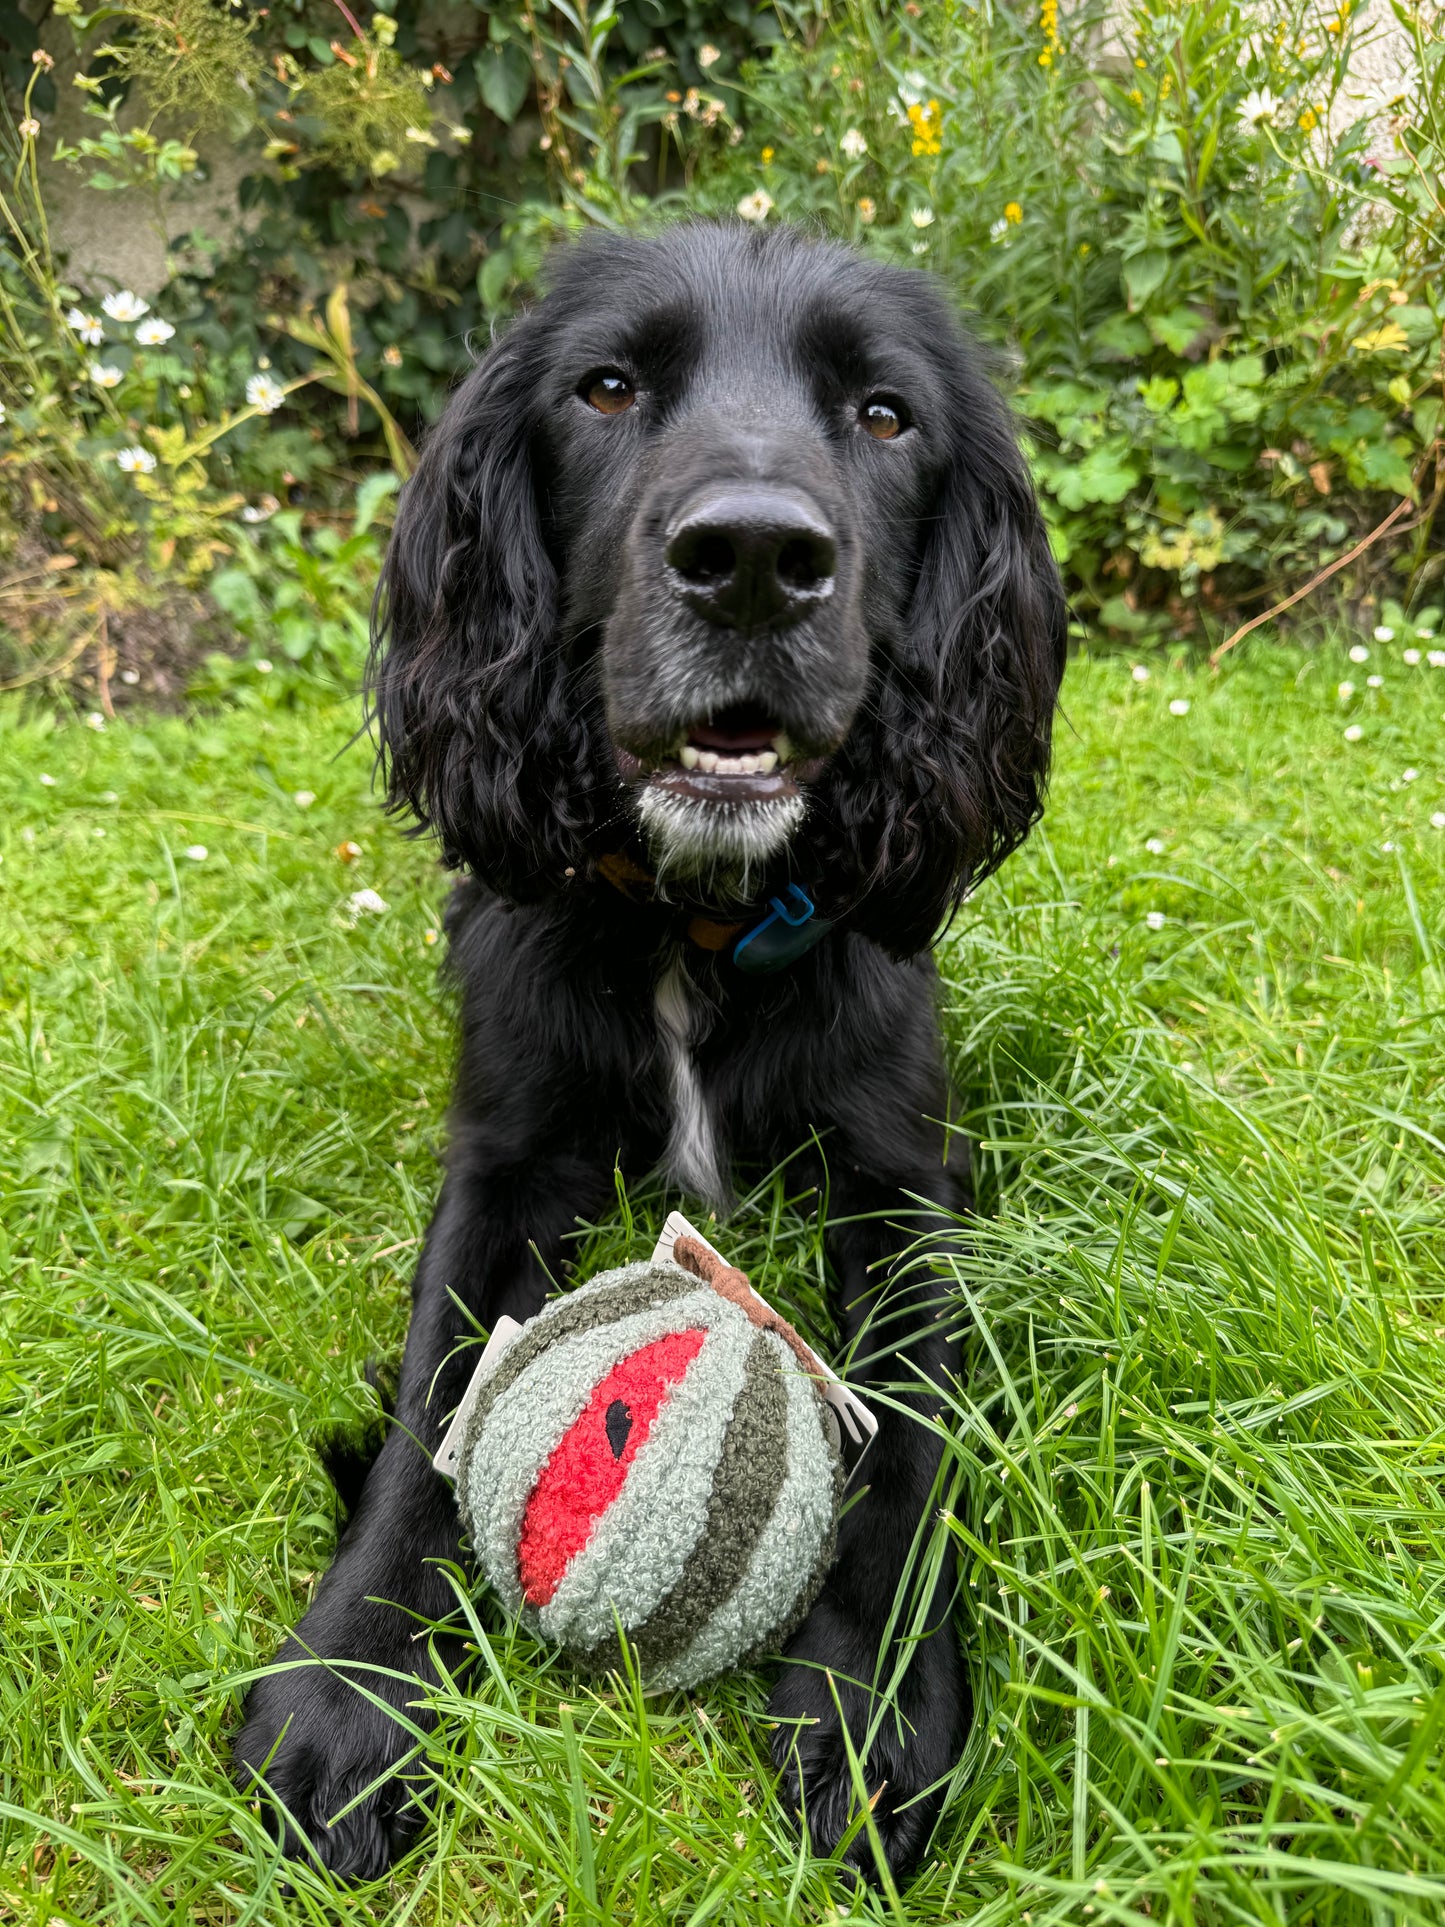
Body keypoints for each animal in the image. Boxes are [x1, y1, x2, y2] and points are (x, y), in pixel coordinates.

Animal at [237, 221, 1071, 1880]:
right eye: (608, 387)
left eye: (885, 414)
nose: (750, 561)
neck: (698, 916)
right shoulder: (502, 1156)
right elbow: (432, 1395)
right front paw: (345, 1687)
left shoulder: (904, 1174)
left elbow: (915, 1423)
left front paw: (877, 1699)